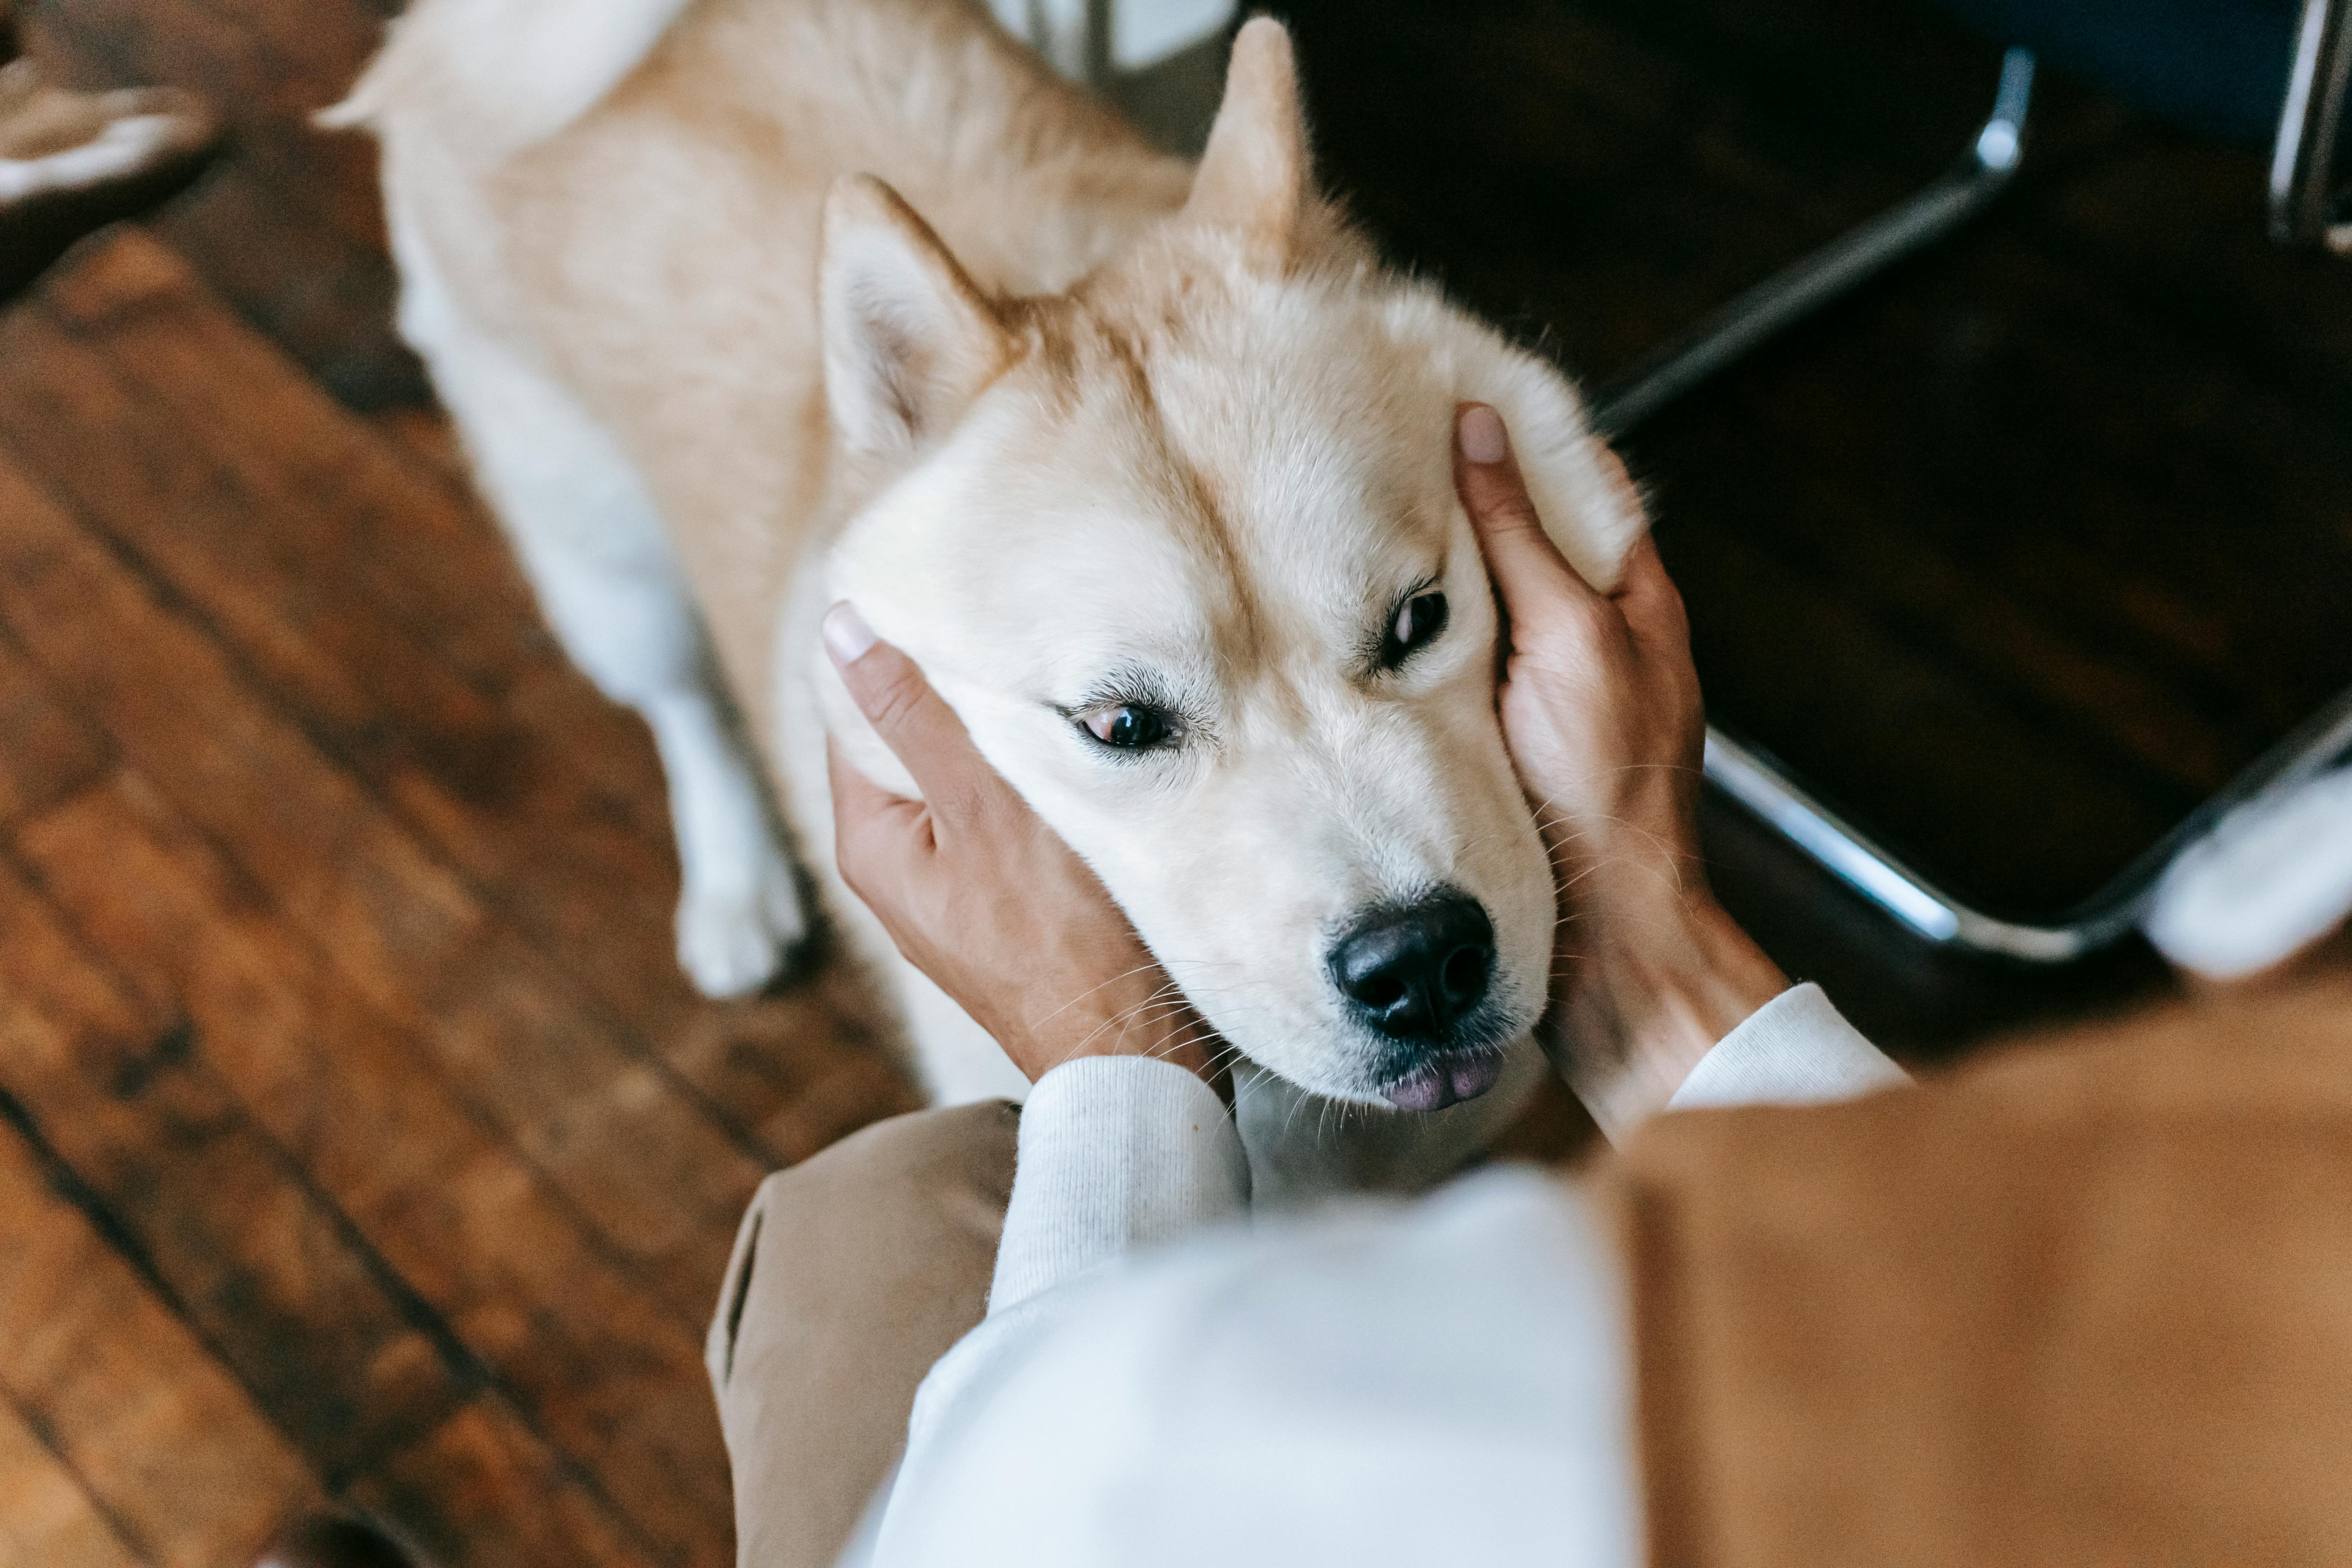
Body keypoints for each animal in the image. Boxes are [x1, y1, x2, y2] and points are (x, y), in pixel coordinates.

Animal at [332, 0, 1646, 1203]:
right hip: (603, 558)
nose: (1420, 963)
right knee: (680, 704)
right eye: (1120, 725)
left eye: (1420, 619)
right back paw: (734, 884)